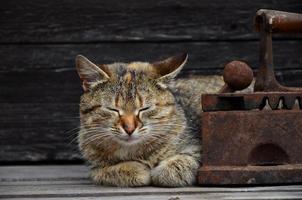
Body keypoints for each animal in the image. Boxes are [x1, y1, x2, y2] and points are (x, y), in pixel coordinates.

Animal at [74, 52, 223, 186]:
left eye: (144, 109)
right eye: (113, 109)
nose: (129, 128)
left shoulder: (198, 149)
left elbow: (183, 162)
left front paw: (162, 172)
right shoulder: (94, 167)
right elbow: (105, 171)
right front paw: (135, 169)